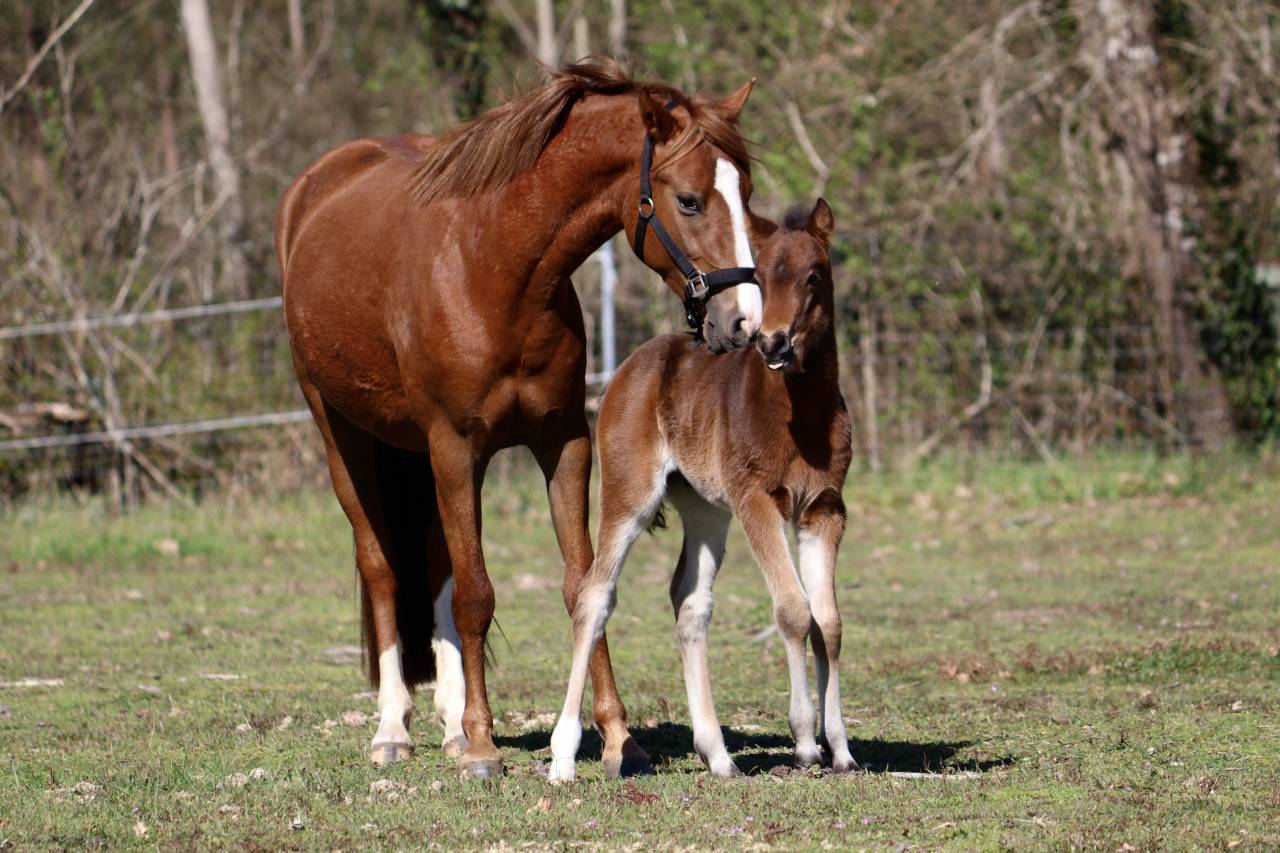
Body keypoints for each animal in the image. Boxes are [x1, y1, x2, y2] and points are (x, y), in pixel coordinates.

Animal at [275, 58, 765, 779]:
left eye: (747, 193)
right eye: (690, 201)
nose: (745, 322)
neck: (494, 266)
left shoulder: (562, 443)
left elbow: (583, 585)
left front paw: (617, 738)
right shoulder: (455, 447)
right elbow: (476, 593)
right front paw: (483, 747)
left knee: (434, 568)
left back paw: (451, 719)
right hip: (344, 437)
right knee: (383, 567)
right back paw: (395, 728)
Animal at [548, 200, 859, 781]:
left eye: (814, 276)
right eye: (761, 276)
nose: (773, 342)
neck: (801, 415)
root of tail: (627, 367)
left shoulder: (824, 509)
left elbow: (827, 621)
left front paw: (842, 750)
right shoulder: (757, 499)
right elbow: (793, 609)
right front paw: (807, 744)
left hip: (706, 509)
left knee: (690, 601)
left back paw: (718, 755)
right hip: (629, 494)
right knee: (595, 595)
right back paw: (563, 757)